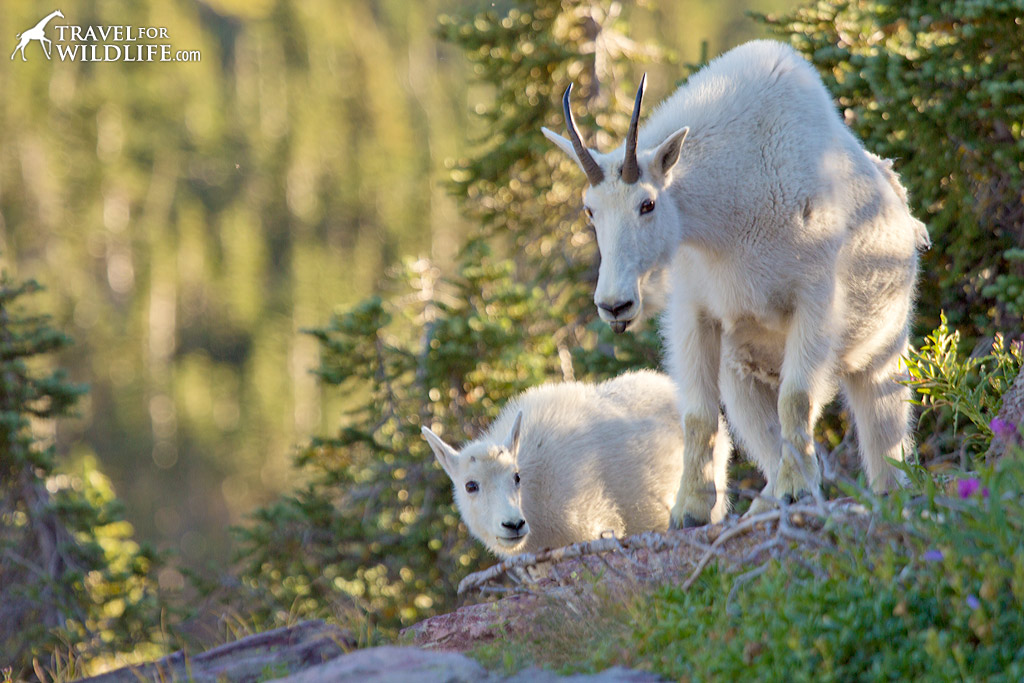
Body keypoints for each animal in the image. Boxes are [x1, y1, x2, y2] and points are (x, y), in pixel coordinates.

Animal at [544, 40, 929, 528]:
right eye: (589, 210)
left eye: (647, 204)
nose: (614, 305)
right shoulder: (694, 311)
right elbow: (698, 416)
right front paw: (689, 510)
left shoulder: (814, 300)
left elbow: (796, 398)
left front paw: (796, 488)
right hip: (742, 374)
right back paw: (767, 500)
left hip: (883, 351)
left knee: (883, 426)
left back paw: (884, 492)